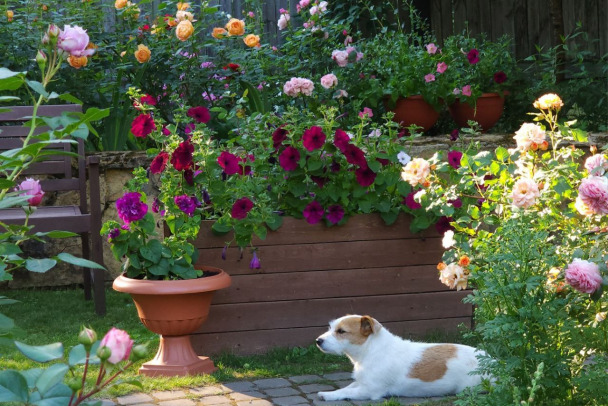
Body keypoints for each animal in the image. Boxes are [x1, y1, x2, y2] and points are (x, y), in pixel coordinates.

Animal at [316, 314, 486, 400]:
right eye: (330, 328)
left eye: (341, 331)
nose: (318, 341)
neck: (371, 349)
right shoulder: (361, 383)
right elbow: (348, 387)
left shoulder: (370, 391)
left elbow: (346, 392)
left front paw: (328, 395)